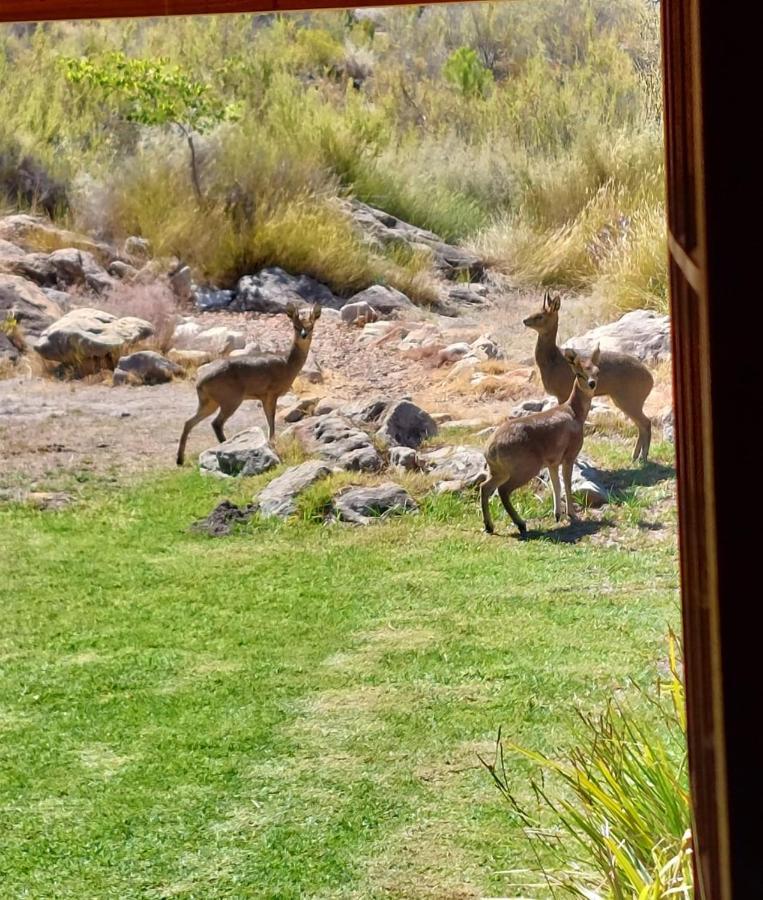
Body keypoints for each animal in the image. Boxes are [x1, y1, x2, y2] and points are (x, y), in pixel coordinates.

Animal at [178, 306, 320, 468]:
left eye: (311, 326)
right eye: (295, 326)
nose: (304, 335)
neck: (288, 364)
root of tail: (200, 382)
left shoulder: (264, 395)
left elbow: (269, 419)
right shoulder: (271, 392)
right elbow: (271, 419)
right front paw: (272, 444)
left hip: (209, 401)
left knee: (188, 422)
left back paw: (180, 459)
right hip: (231, 398)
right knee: (216, 423)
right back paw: (224, 447)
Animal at [484, 346, 604, 536]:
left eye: (597, 371)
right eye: (579, 373)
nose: (592, 384)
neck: (575, 413)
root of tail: (490, 449)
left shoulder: (551, 461)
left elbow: (556, 485)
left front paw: (557, 515)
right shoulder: (569, 455)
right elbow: (567, 484)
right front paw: (572, 515)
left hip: (498, 470)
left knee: (485, 487)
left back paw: (489, 526)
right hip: (525, 467)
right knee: (502, 490)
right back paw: (521, 524)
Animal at [524, 292, 656, 464]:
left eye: (540, 315)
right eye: (535, 310)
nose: (525, 320)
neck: (553, 361)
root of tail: (651, 379)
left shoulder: (562, 393)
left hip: (630, 399)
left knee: (646, 423)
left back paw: (643, 458)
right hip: (625, 400)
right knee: (641, 424)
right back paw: (635, 457)